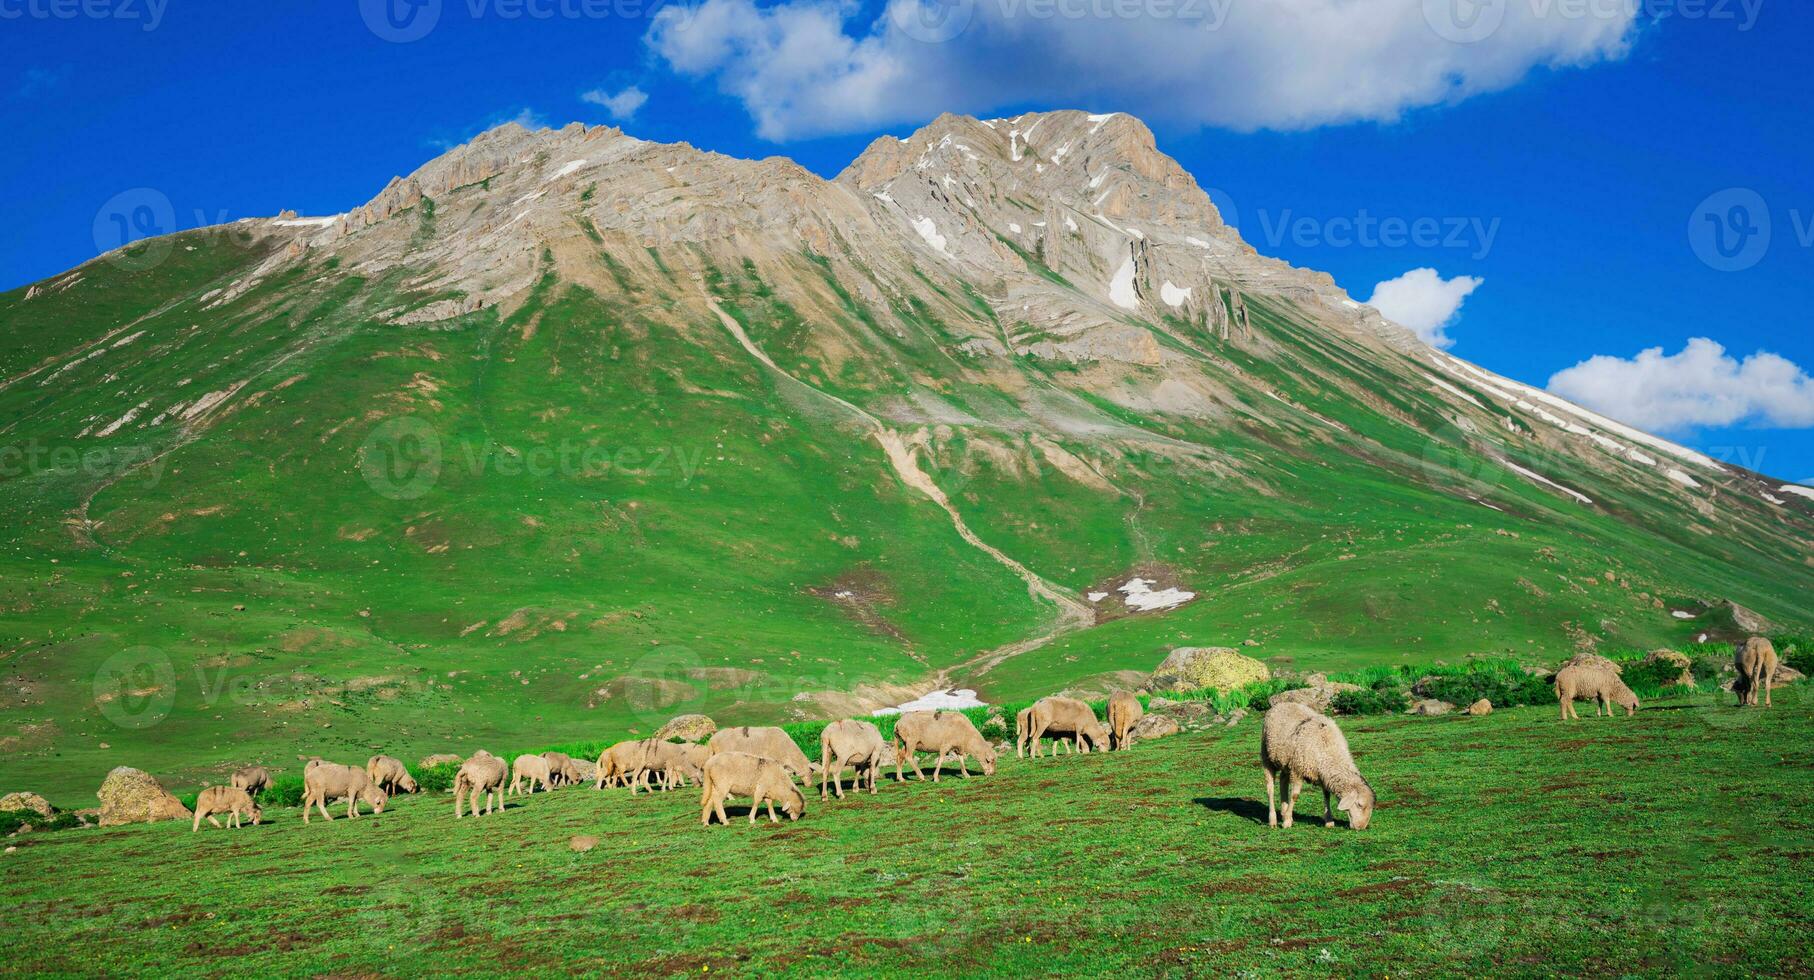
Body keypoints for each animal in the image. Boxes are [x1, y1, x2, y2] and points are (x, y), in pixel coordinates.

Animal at [1262, 700, 1371, 831]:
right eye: (1359, 805)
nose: (1361, 827)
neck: (1328, 751)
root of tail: (1282, 703)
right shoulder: (1297, 770)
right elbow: (1295, 796)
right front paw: (1287, 821)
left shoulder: (1323, 775)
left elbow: (1327, 795)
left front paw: (1329, 821)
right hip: (1267, 757)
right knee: (1270, 788)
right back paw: (1273, 820)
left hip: (1287, 762)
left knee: (1283, 781)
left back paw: (1283, 812)